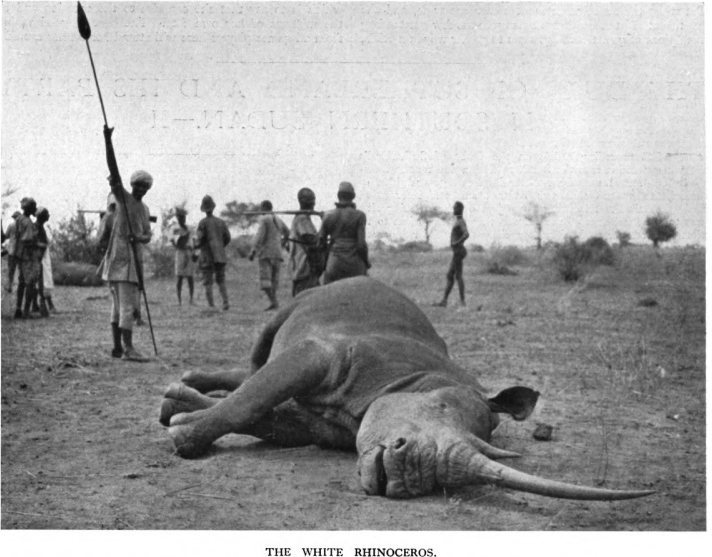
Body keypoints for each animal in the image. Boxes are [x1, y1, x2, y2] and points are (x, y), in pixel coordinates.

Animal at [160, 277, 654, 501]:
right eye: (438, 408)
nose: (414, 472)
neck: (421, 381)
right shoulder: (332, 354)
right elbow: (251, 401)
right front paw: (184, 436)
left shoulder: (324, 427)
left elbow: (268, 416)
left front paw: (181, 412)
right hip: (314, 297)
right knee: (263, 347)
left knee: (255, 374)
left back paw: (183, 389)